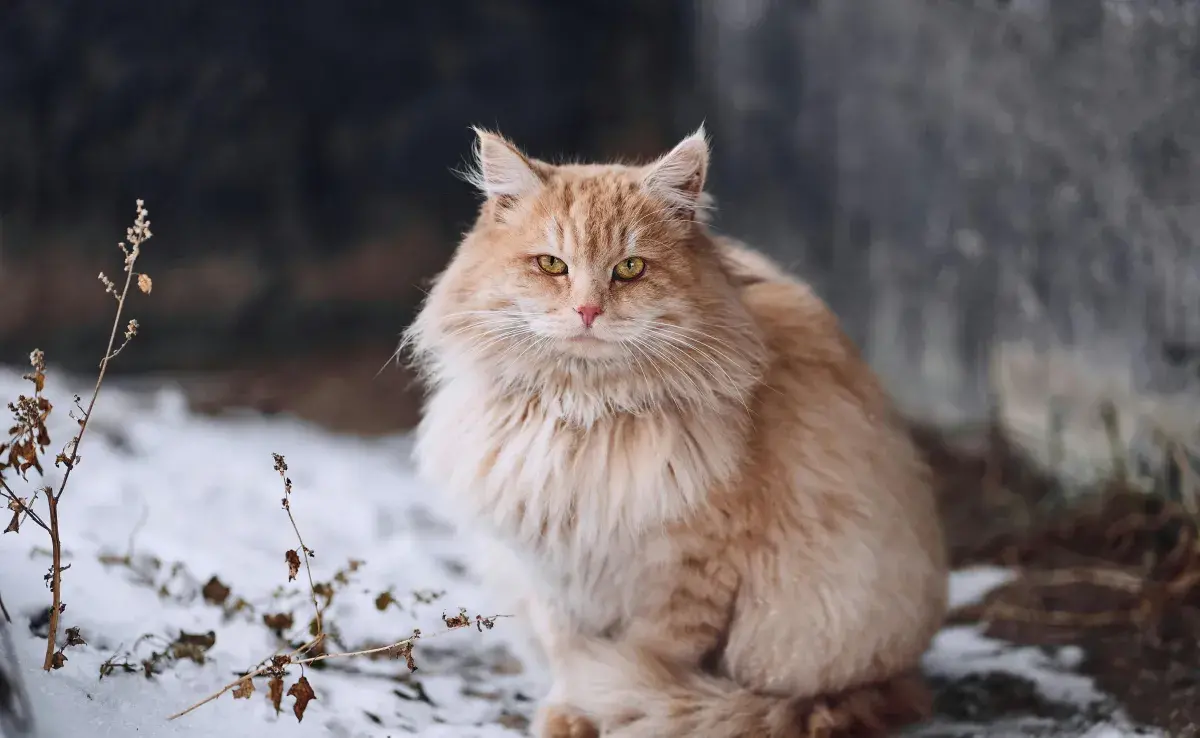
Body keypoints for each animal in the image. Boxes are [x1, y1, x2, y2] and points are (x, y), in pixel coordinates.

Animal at [403, 127, 945, 738]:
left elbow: (642, 664)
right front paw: (569, 715)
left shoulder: (688, 576)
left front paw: (612, 710)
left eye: (630, 268)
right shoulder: (551, 572)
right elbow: (569, 654)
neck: (587, 415)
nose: (587, 311)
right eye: (551, 264)